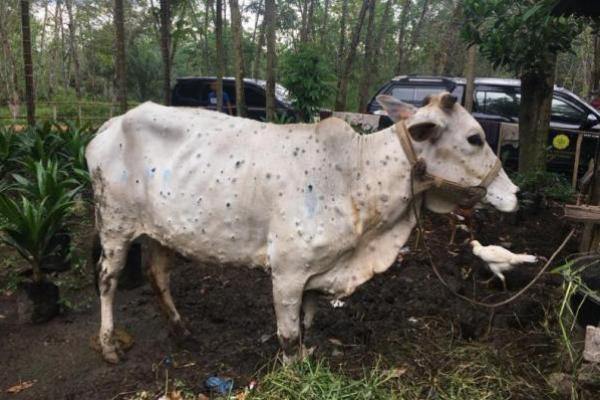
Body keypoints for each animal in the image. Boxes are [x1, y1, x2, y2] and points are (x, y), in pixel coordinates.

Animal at [86, 93, 516, 362]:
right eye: (474, 138)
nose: (514, 193)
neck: (356, 175)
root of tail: (109, 125)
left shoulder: (317, 270)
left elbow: (308, 319)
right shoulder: (288, 271)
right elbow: (289, 334)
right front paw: (295, 365)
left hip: (161, 231)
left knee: (158, 274)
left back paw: (181, 331)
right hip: (114, 225)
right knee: (108, 279)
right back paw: (108, 346)